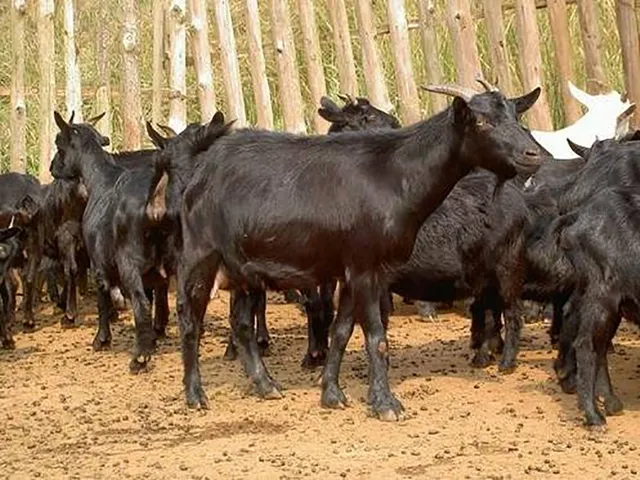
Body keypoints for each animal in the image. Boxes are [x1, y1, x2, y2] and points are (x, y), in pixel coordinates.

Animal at [171, 79, 546, 421]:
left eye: (515, 115)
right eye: (481, 122)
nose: (534, 155)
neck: (395, 176)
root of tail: (201, 171)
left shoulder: (351, 268)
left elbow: (341, 331)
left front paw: (332, 394)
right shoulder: (367, 266)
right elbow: (376, 335)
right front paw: (385, 404)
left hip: (244, 268)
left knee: (241, 324)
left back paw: (266, 385)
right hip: (201, 254)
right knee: (190, 318)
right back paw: (195, 396)